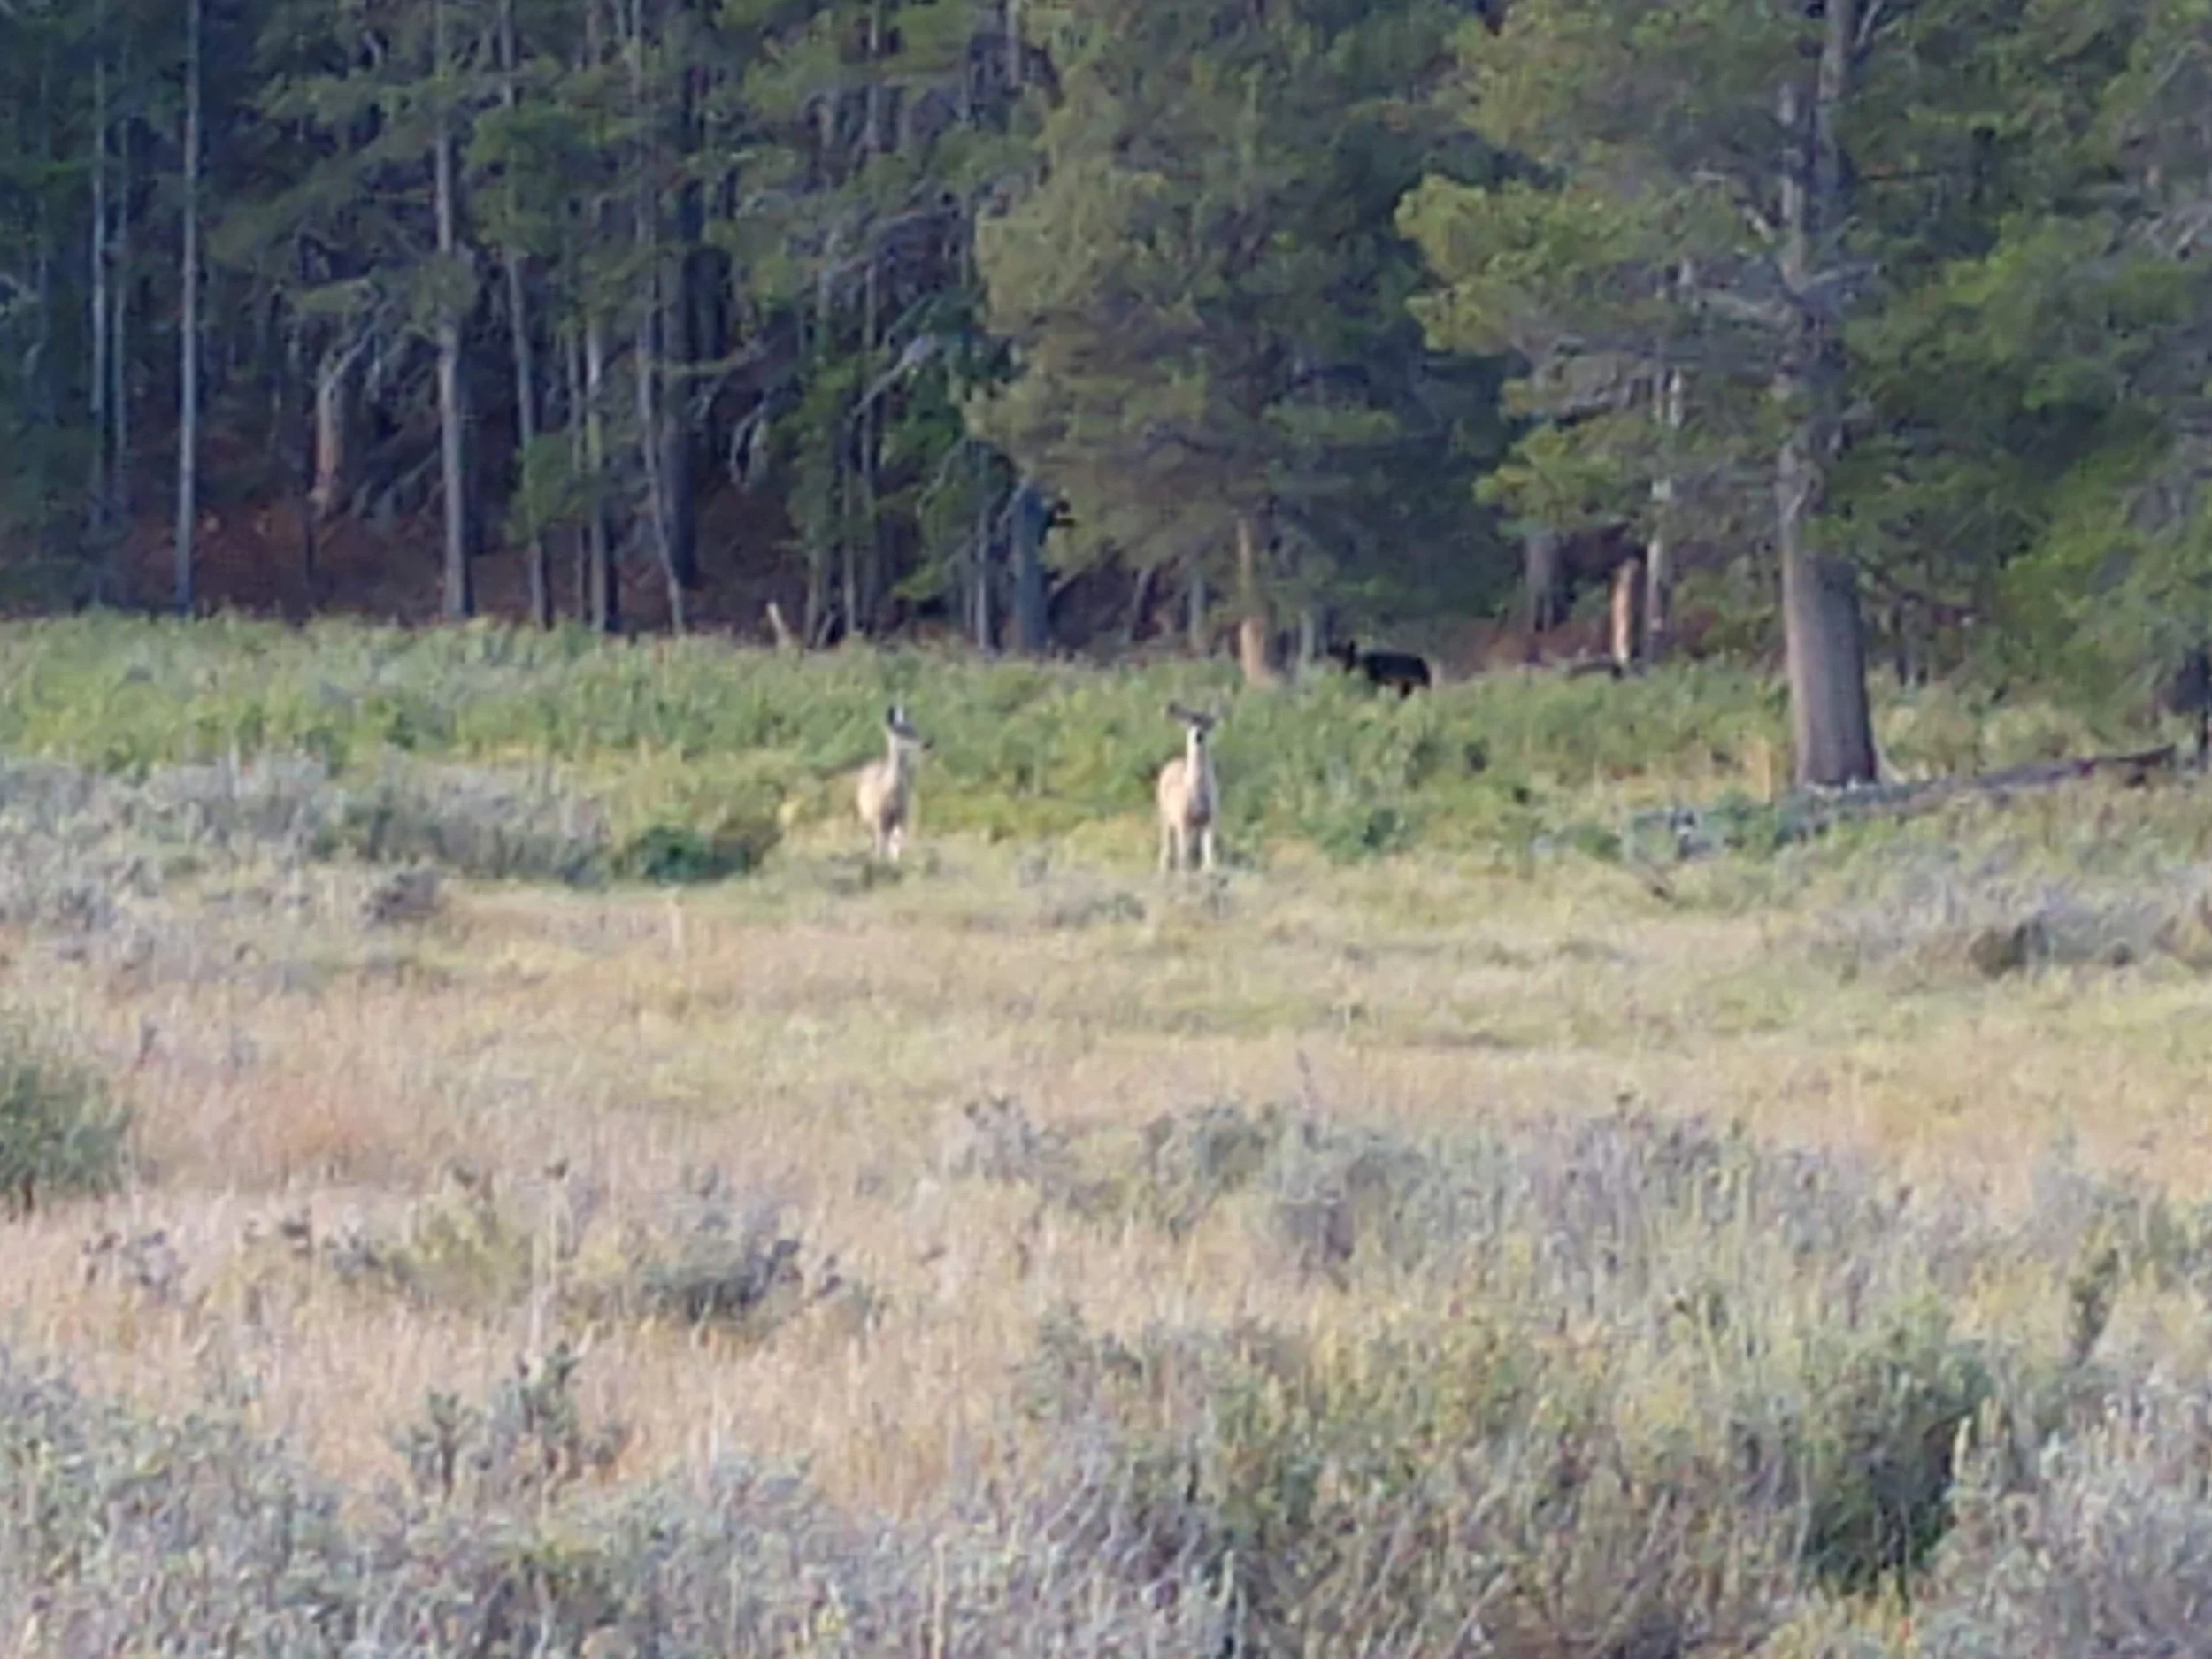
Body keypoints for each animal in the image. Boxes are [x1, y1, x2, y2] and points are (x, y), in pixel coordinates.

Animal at [856, 704, 931, 864]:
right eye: (900, 733)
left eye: (916, 730)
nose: (927, 744)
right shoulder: (880, 817)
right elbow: (882, 845)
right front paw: (880, 863)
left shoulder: (902, 816)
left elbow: (897, 845)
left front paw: (895, 864)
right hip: (870, 818)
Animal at [1156, 702, 1221, 873]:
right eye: (1189, 724)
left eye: (1207, 723)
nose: (1198, 735)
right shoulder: (1182, 819)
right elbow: (1183, 856)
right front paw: (1184, 872)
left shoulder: (1210, 819)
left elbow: (1209, 856)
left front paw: (1208, 870)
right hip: (1164, 812)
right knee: (1167, 841)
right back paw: (1164, 866)